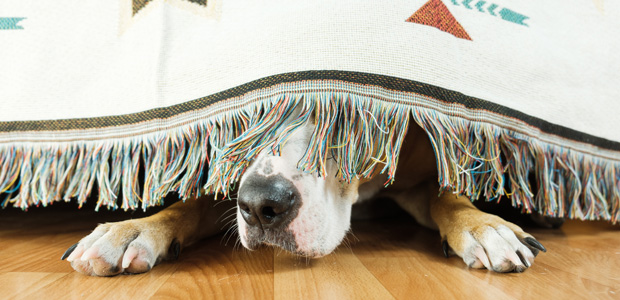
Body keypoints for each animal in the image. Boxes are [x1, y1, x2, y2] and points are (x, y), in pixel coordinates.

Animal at [60, 112, 544, 276]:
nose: (261, 205)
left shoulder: (419, 174)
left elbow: (450, 196)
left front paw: (485, 228)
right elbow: (189, 205)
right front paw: (132, 230)